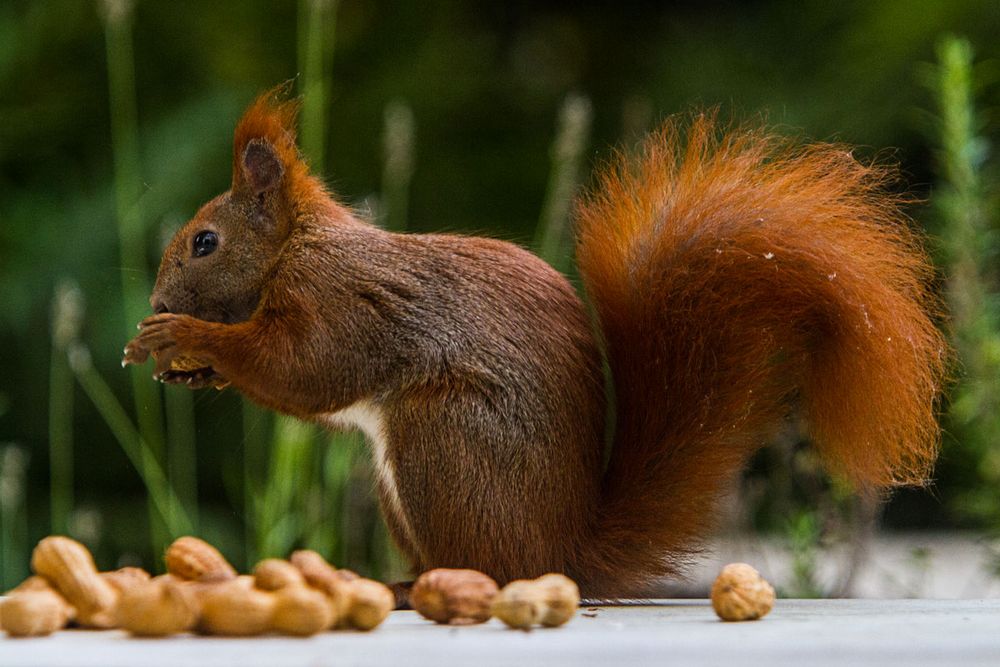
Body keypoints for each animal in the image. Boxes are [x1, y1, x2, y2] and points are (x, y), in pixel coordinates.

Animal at [123, 87, 944, 596]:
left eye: (203, 242)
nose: (156, 301)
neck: (296, 250)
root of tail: (563, 554)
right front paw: (184, 365)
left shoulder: (341, 302)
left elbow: (306, 371)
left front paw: (186, 336)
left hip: (442, 439)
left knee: (492, 569)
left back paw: (415, 586)